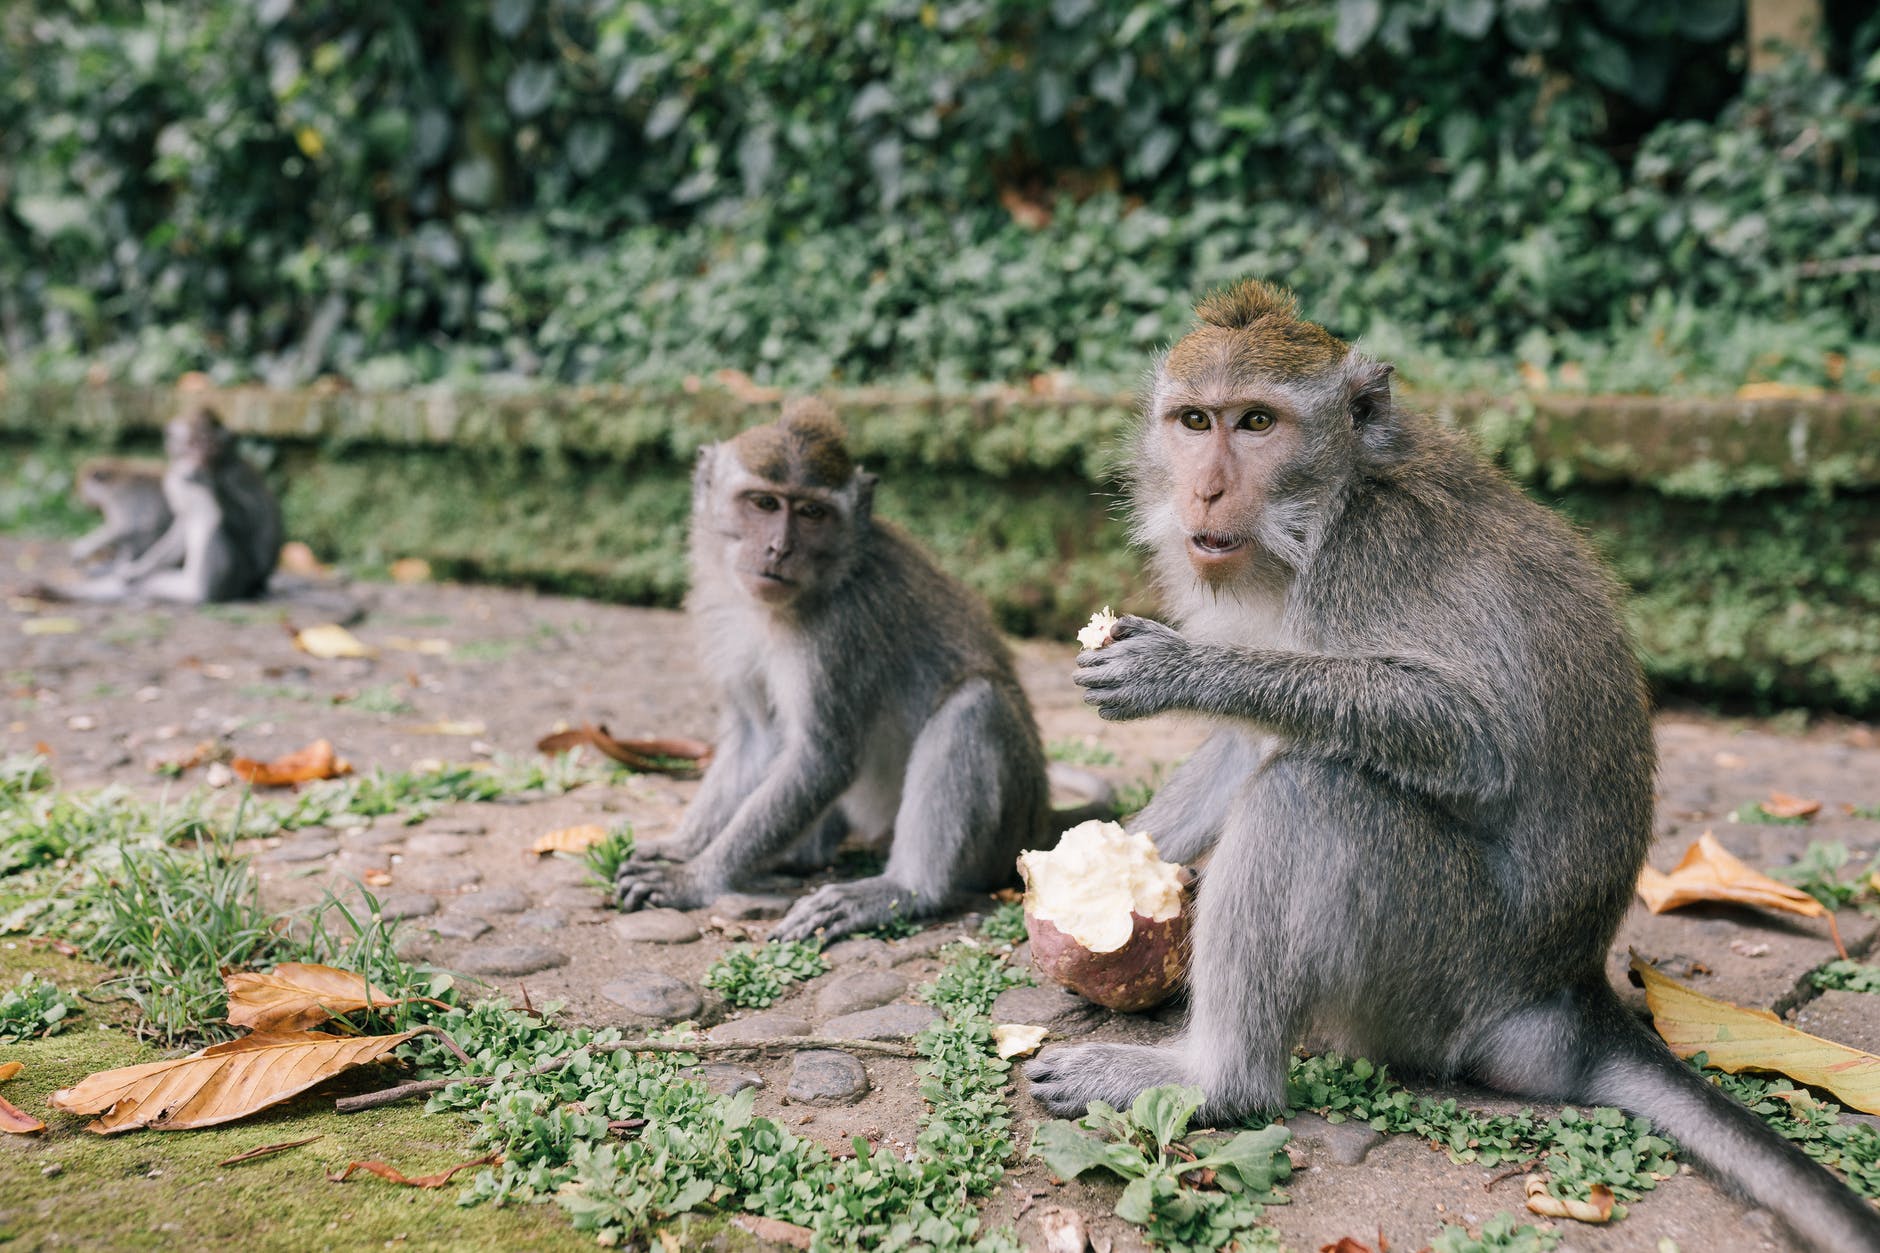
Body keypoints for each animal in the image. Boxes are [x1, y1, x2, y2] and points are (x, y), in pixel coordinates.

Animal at [616, 396, 1060, 936]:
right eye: (764, 504)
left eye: (812, 513)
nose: (779, 548)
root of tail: (1044, 819)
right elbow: (755, 735)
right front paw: (681, 848)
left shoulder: (839, 631)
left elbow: (821, 758)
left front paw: (694, 879)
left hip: (1007, 832)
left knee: (976, 704)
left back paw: (900, 888)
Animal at [1022, 278, 1880, 1241]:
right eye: (1194, 420)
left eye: (1257, 422)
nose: (1204, 490)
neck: (1326, 509)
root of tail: (1565, 997)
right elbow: (1248, 738)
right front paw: (1103, 875)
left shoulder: (1367, 558)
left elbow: (1473, 740)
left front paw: (1176, 670)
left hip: (1440, 970)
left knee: (1318, 790)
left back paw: (1214, 1078)